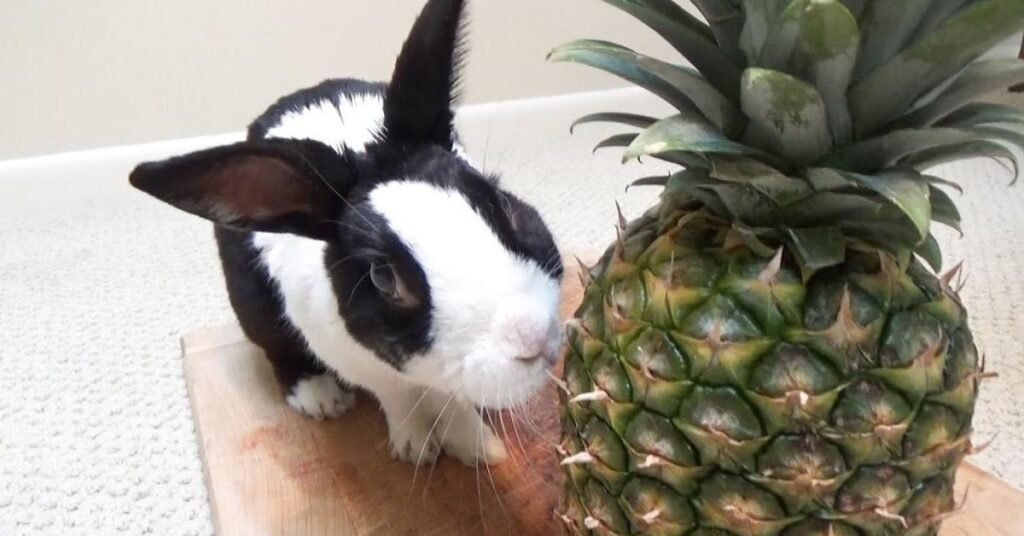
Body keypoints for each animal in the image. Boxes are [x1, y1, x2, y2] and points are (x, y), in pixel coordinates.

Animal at [129, 0, 563, 467]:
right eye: (384, 278)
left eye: (502, 203)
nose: (532, 335)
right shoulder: (360, 363)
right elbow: (397, 395)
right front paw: (416, 448)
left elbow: (453, 399)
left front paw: (479, 447)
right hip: (253, 306)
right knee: (277, 350)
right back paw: (321, 399)